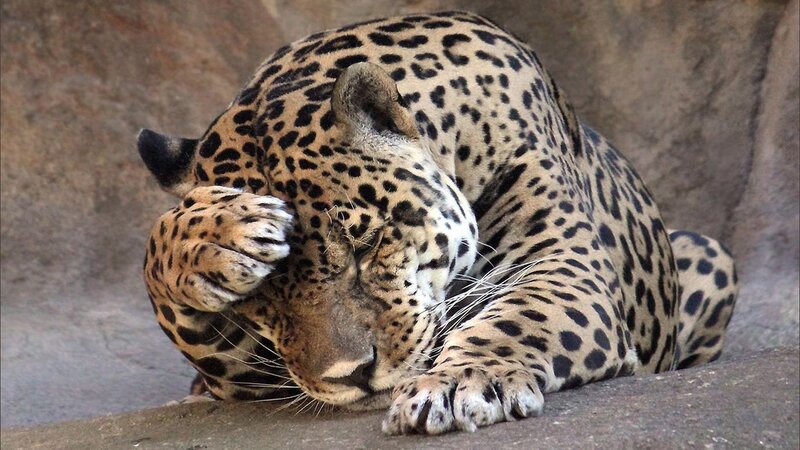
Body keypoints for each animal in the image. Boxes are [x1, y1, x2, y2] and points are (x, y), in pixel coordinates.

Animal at [137, 11, 738, 435]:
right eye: (260, 300)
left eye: (366, 242)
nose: (353, 375)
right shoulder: (246, 372)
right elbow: (154, 254)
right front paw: (213, 232)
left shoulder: (563, 263)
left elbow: (518, 319)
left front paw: (458, 383)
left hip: (708, 253)